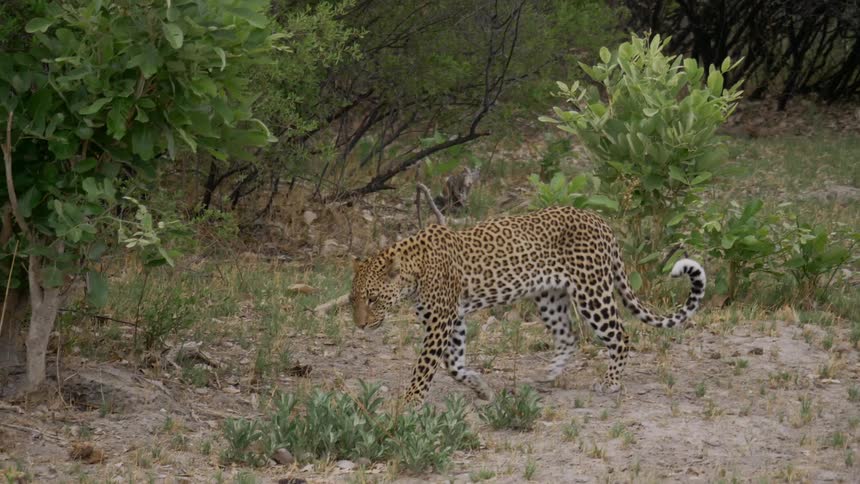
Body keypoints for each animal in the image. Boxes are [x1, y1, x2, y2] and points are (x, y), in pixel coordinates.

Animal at [349, 206, 706, 404]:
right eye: (354, 300)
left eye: (373, 299)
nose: (360, 325)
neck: (414, 271)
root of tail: (601, 221)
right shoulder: (454, 320)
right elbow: (454, 364)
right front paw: (482, 390)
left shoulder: (441, 321)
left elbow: (425, 367)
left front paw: (410, 402)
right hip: (550, 296)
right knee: (568, 336)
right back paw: (548, 376)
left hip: (593, 292)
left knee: (620, 335)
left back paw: (610, 383)